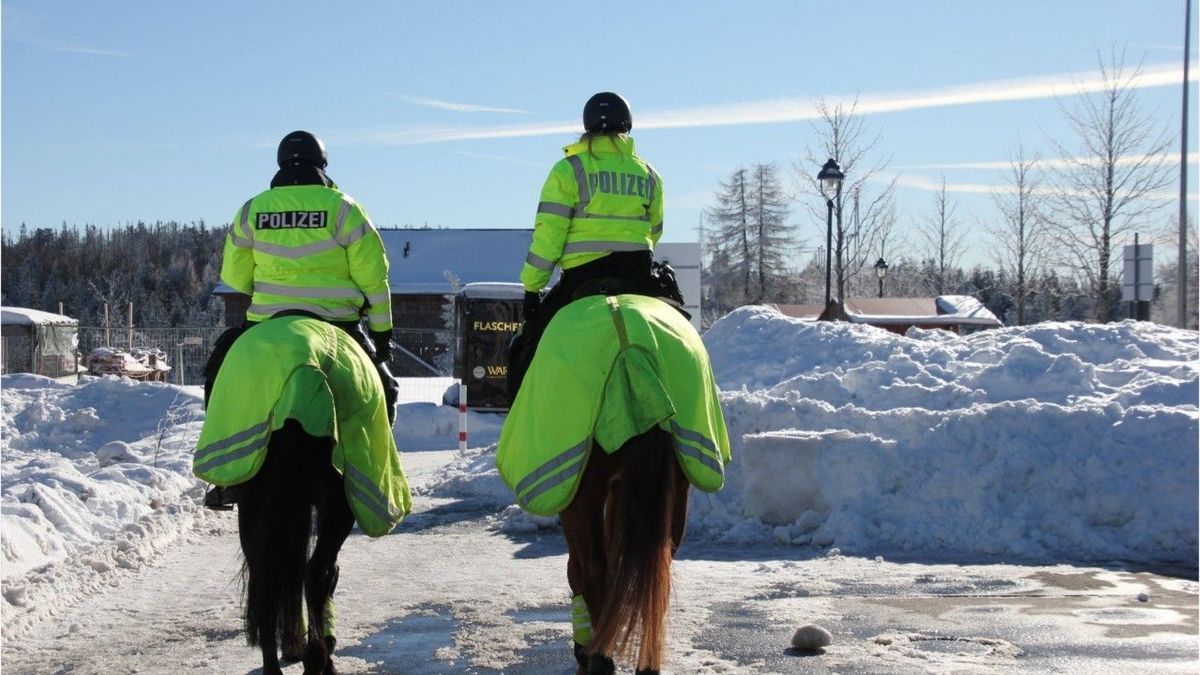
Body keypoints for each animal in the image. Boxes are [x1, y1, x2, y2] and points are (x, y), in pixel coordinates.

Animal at [556, 425, 691, 672]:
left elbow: (578, 568)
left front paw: (582, 648)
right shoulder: (620, 486)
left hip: (582, 492)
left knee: (592, 567)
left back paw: (598, 656)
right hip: (677, 487)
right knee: (661, 573)